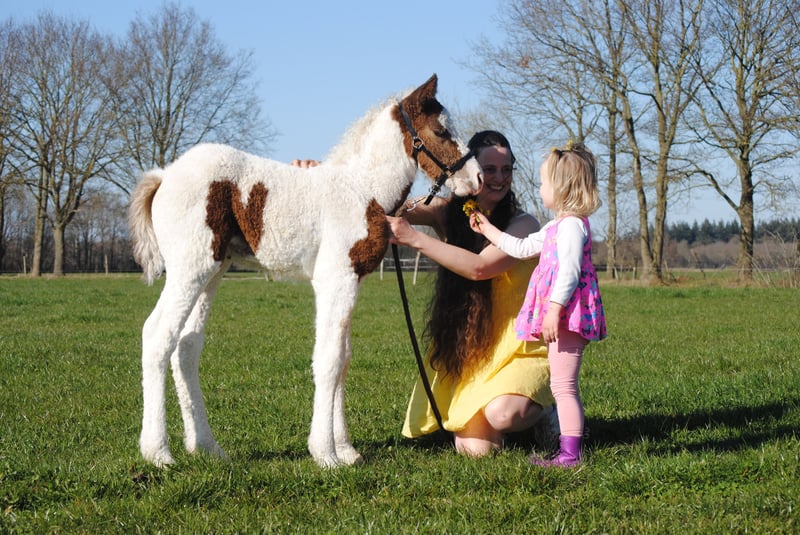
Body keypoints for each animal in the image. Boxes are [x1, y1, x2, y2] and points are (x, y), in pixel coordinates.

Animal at [128, 74, 482, 468]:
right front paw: (325, 454)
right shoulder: (335, 279)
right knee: (158, 336)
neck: (361, 191)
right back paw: (158, 452)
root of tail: (164, 176)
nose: (478, 178)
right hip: (189, 271)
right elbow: (328, 359)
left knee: (186, 346)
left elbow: (343, 358)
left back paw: (207, 447)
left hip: (212, 273)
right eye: (440, 130)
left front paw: (346, 450)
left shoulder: (351, 281)